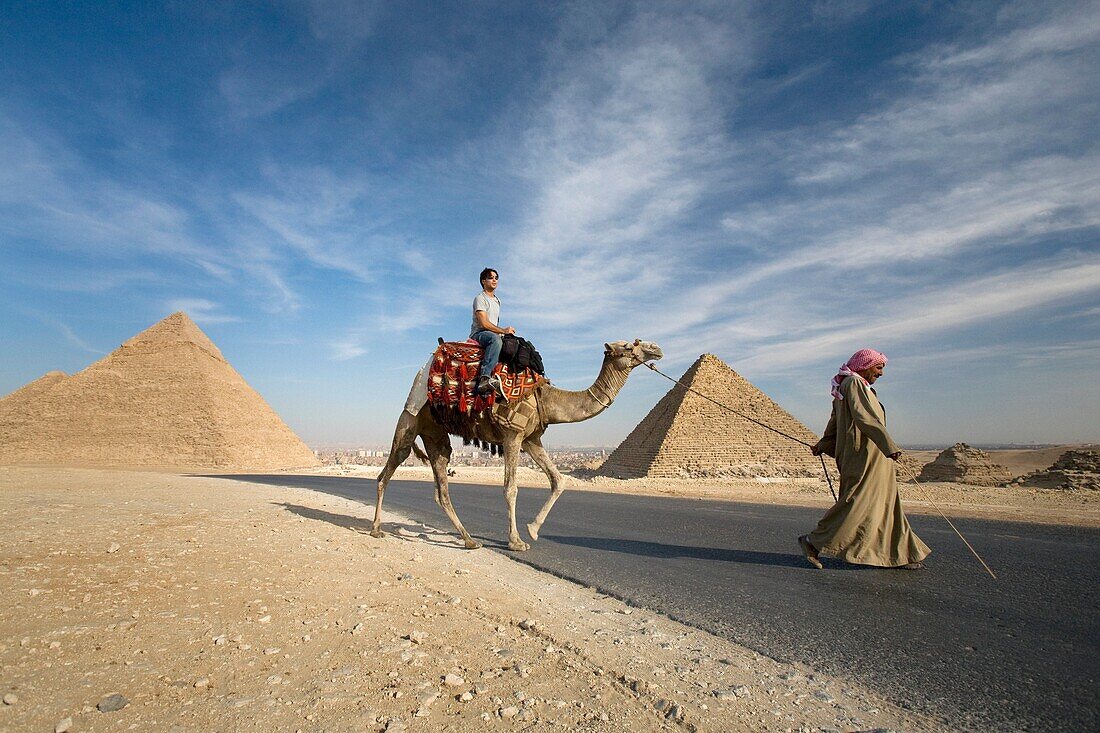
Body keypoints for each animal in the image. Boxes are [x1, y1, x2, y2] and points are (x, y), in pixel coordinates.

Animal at [371, 336, 660, 548]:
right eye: (629, 345)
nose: (656, 349)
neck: (546, 398)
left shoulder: (532, 439)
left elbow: (558, 480)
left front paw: (533, 529)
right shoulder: (512, 435)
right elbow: (511, 488)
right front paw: (516, 541)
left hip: (435, 435)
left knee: (441, 487)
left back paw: (469, 540)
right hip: (410, 419)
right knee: (388, 471)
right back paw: (375, 529)